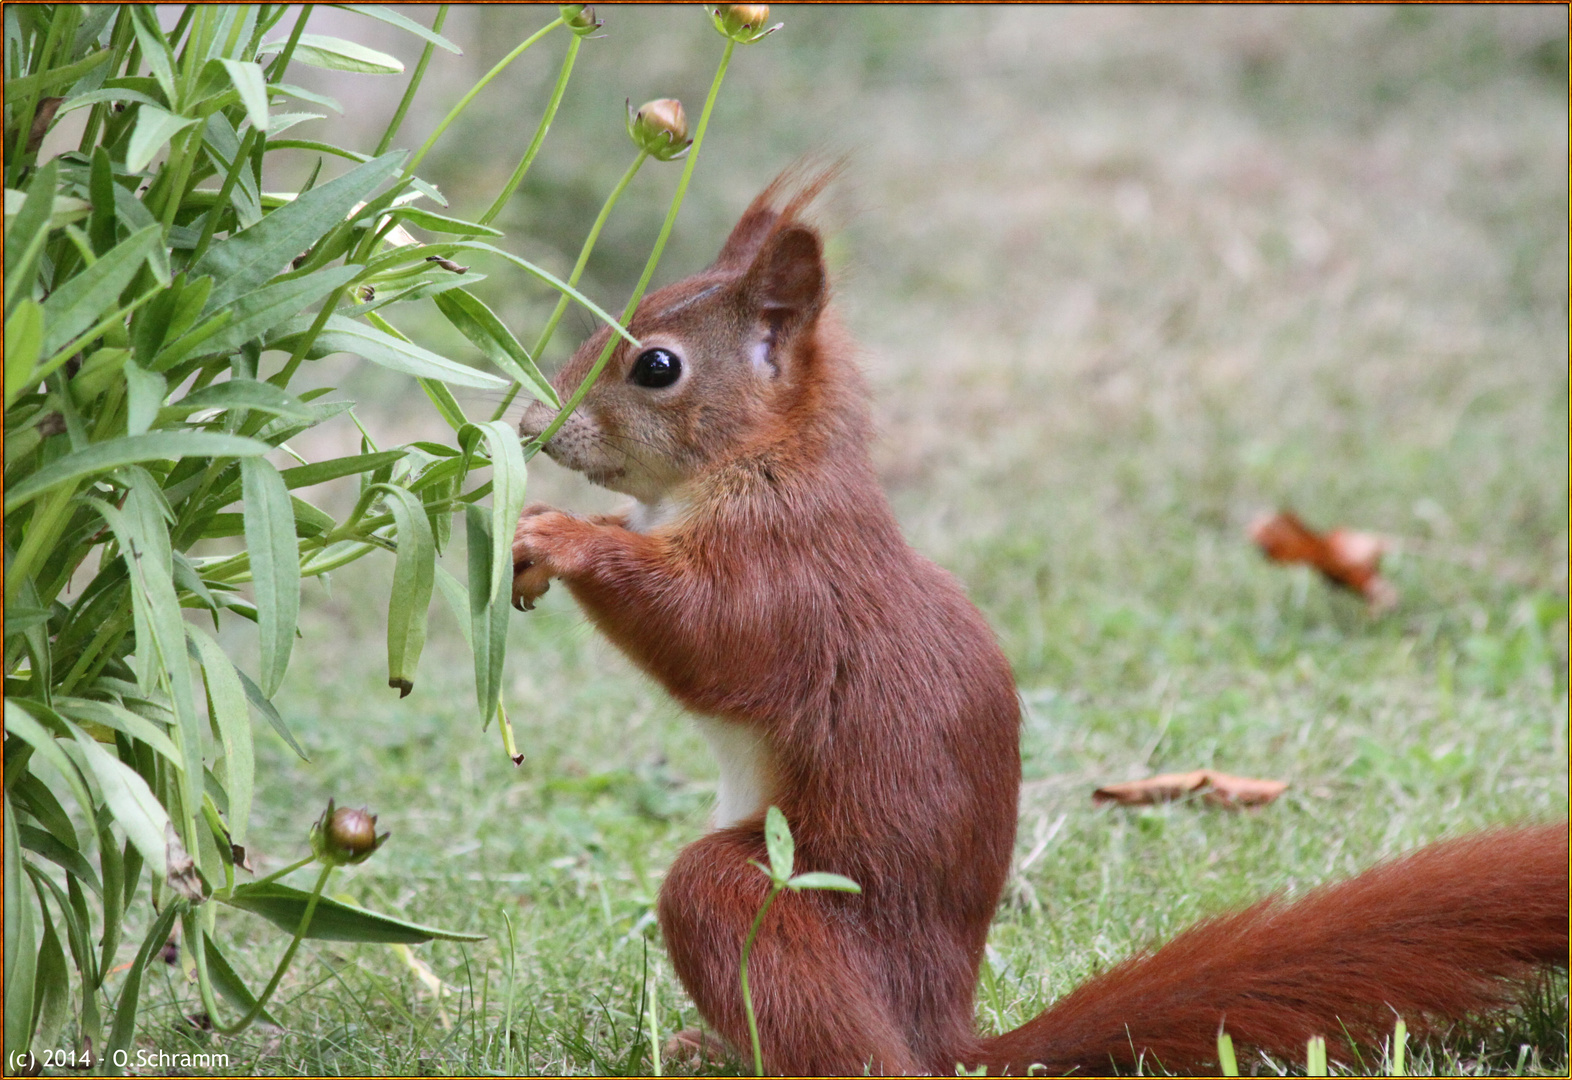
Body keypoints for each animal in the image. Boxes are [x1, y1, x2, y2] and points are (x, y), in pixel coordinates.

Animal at [509, 166, 1565, 1075]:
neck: (760, 464)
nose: (528, 425)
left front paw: (559, 537)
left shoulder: (788, 575)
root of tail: (945, 1038)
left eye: (657, 366)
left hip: (782, 904)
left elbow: (710, 639)